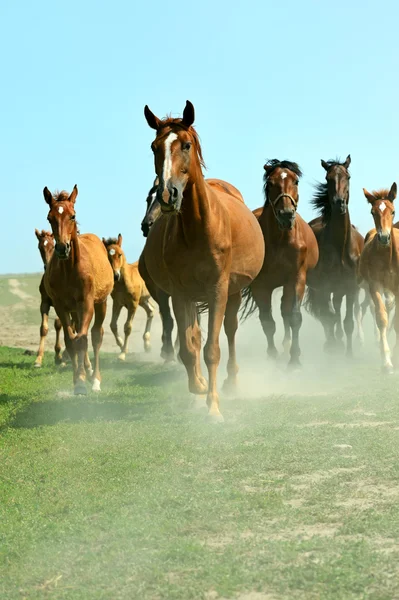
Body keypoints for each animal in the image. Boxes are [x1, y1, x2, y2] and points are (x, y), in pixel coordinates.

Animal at [42, 186, 113, 394]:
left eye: (72, 216)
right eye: (49, 218)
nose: (62, 248)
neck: (69, 270)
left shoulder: (86, 304)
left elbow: (82, 339)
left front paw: (83, 382)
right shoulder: (61, 307)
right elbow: (70, 340)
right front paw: (78, 380)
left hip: (101, 303)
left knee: (96, 335)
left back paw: (95, 378)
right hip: (74, 309)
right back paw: (87, 371)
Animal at [138, 101, 266, 422]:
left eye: (186, 145)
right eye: (154, 146)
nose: (168, 194)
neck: (197, 229)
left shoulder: (217, 290)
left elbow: (212, 350)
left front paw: (214, 408)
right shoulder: (180, 293)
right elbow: (188, 347)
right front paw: (199, 387)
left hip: (233, 293)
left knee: (230, 331)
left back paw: (231, 382)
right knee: (194, 337)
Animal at [242, 159, 320, 366]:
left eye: (296, 181)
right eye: (270, 183)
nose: (286, 214)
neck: (279, 239)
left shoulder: (296, 279)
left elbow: (294, 316)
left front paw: (295, 359)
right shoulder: (260, 285)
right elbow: (267, 321)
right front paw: (272, 355)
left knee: (285, 311)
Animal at [306, 157, 366, 358]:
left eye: (348, 176)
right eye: (328, 177)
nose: (339, 203)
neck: (340, 248)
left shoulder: (351, 288)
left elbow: (348, 322)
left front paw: (348, 354)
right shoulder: (324, 288)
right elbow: (329, 317)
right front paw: (333, 347)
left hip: (339, 289)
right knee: (328, 315)